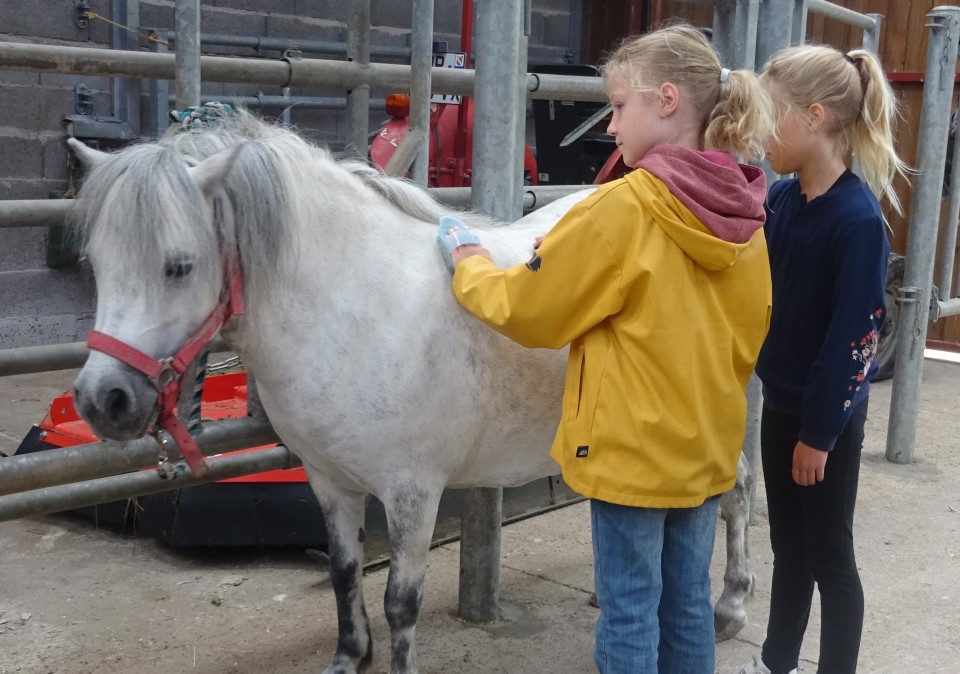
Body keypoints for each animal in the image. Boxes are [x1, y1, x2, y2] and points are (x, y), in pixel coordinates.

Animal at [69, 113, 756, 668]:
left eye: (179, 266)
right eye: (95, 264)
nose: (104, 400)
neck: (354, 308)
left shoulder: (412, 493)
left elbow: (401, 601)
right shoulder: (329, 481)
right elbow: (345, 572)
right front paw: (349, 657)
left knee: (738, 493)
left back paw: (731, 607)